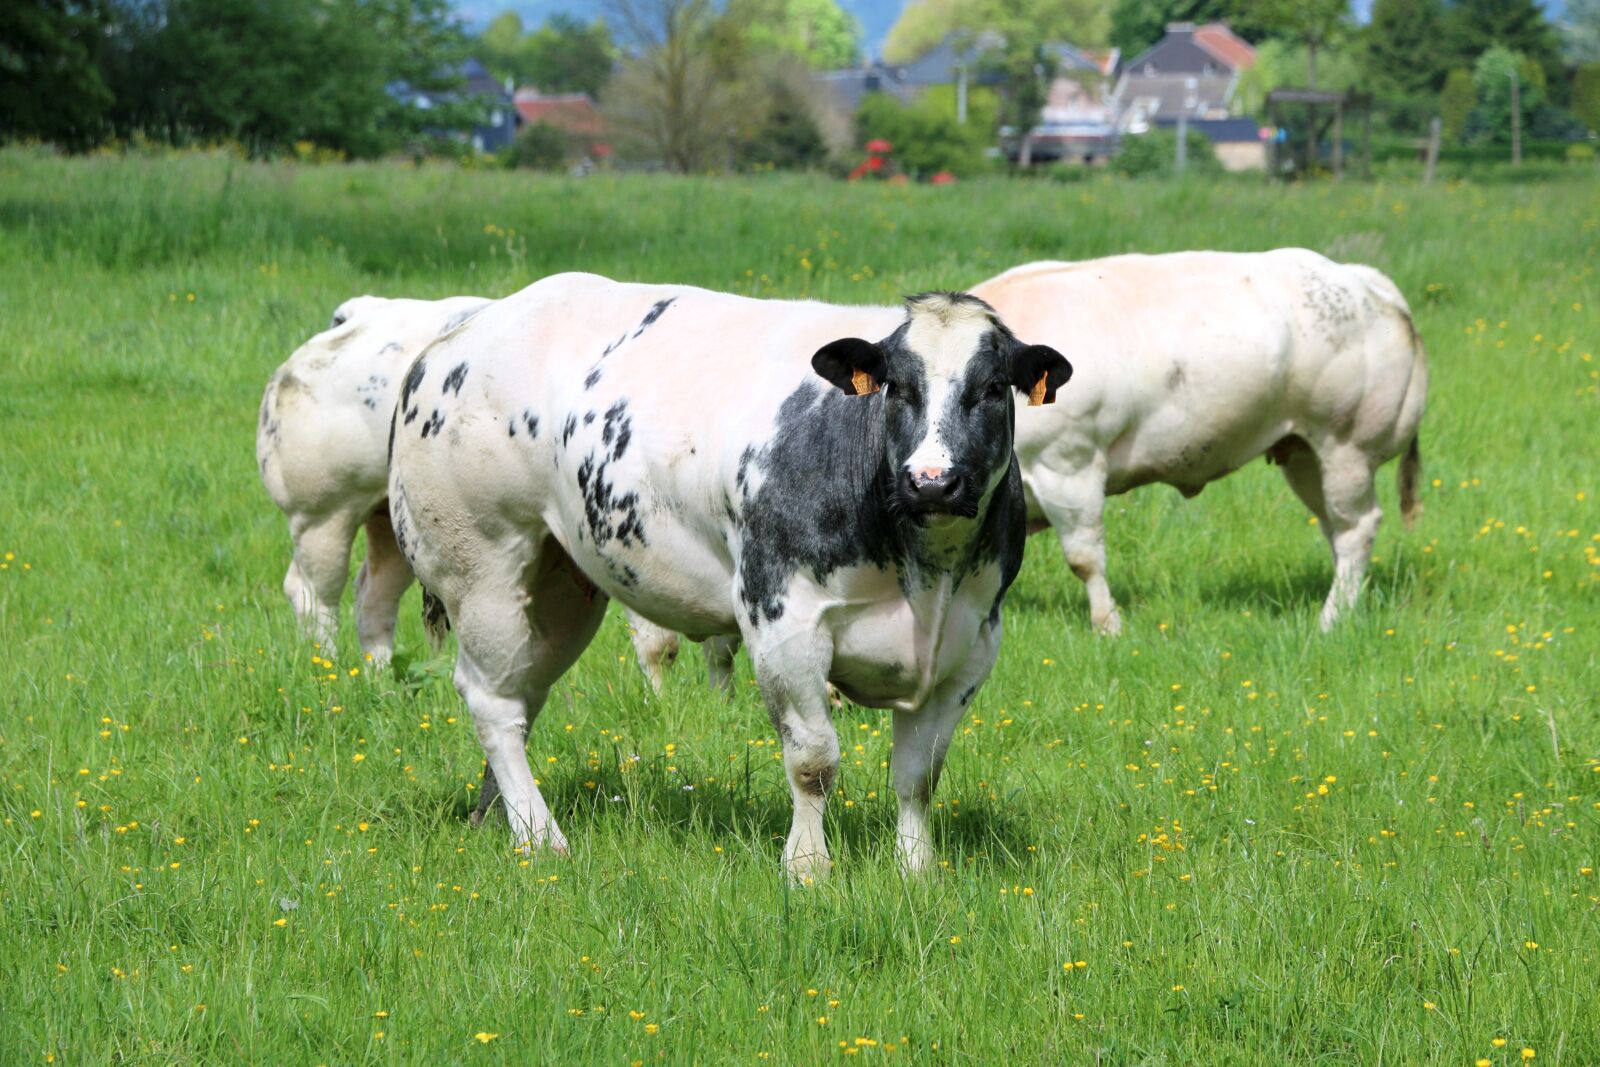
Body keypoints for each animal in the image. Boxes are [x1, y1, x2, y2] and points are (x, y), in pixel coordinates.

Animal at [257, 295, 490, 664]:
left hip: (396, 523)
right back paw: (329, 666)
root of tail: (355, 316)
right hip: (322, 515)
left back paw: (379, 674)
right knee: (314, 596)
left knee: (374, 596)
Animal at [387, 273, 1071, 878]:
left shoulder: (972, 641)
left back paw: (495, 818)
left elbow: (919, 774)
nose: (931, 481)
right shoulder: (782, 621)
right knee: (492, 702)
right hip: (481, 564)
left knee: (521, 692)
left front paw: (915, 870)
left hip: (560, 585)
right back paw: (538, 836)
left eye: (992, 388)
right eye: (896, 387)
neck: (924, 574)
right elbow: (813, 761)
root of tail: (458, 335)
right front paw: (807, 867)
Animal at [973, 250, 1427, 634]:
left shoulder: (1069, 465)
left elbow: (1085, 560)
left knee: (1356, 528)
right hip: (1305, 454)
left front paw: (1108, 628)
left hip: (1346, 447)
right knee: (1335, 527)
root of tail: (1360, 278)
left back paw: (1333, 618)